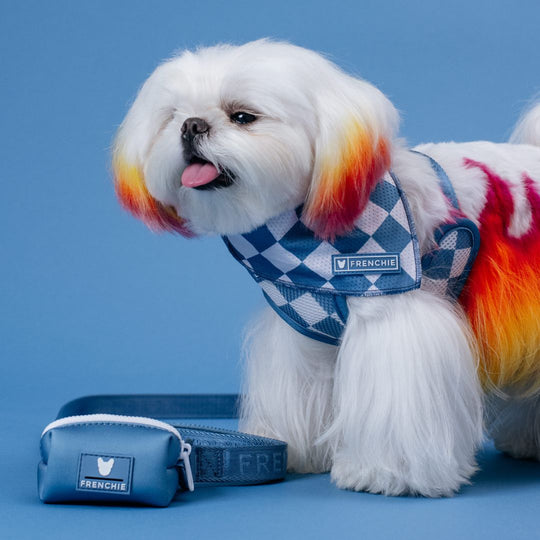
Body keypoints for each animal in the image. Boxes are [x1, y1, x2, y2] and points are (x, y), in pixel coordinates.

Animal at [110, 39, 540, 498]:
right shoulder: (302, 325)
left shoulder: (395, 317)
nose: (191, 126)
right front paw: (295, 451)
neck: (307, 236)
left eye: (242, 115)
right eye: (172, 117)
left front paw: (387, 473)